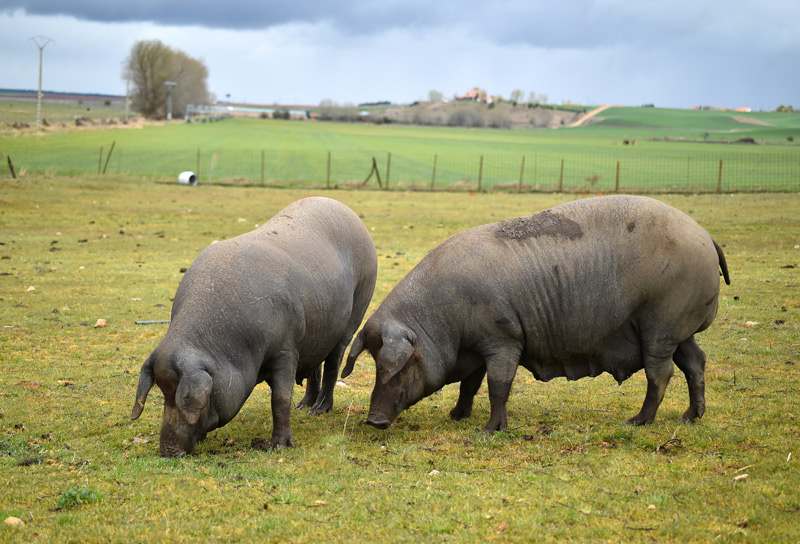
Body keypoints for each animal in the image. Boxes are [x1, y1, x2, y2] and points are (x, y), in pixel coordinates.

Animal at [130, 196, 378, 454]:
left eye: (185, 397)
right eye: (163, 391)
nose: (168, 451)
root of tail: (349, 212)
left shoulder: (286, 350)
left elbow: (279, 399)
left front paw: (279, 447)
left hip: (356, 311)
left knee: (332, 363)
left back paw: (318, 411)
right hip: (319, 327)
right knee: (315, 367)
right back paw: (302, 407)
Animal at [340, 196, 728, 434]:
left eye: (400, 364)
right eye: (375, 362)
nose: (374, 421)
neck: (442, 322)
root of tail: (707, 236)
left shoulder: (503, 339)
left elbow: (498, 385)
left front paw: (490, 430)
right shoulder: (477, 346)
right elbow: (470, 384)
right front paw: (455, 417)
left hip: (660, 324)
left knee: (660, 373)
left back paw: (636, 422)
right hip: (679, 329)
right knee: (695, 362)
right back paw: (690, 419)